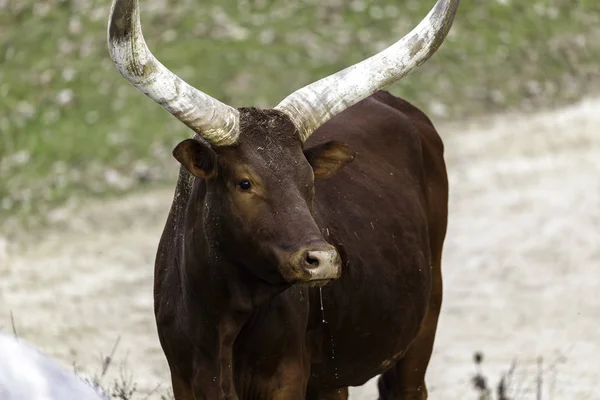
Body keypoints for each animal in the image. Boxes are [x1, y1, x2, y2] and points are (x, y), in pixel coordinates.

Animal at [106, 0, 460, 396]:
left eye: (309, 180)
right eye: (244, 182)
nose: (322, 261)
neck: (223, 322)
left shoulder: (285, 378)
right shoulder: (184, 379)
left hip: (423, 323)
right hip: (332, 378)